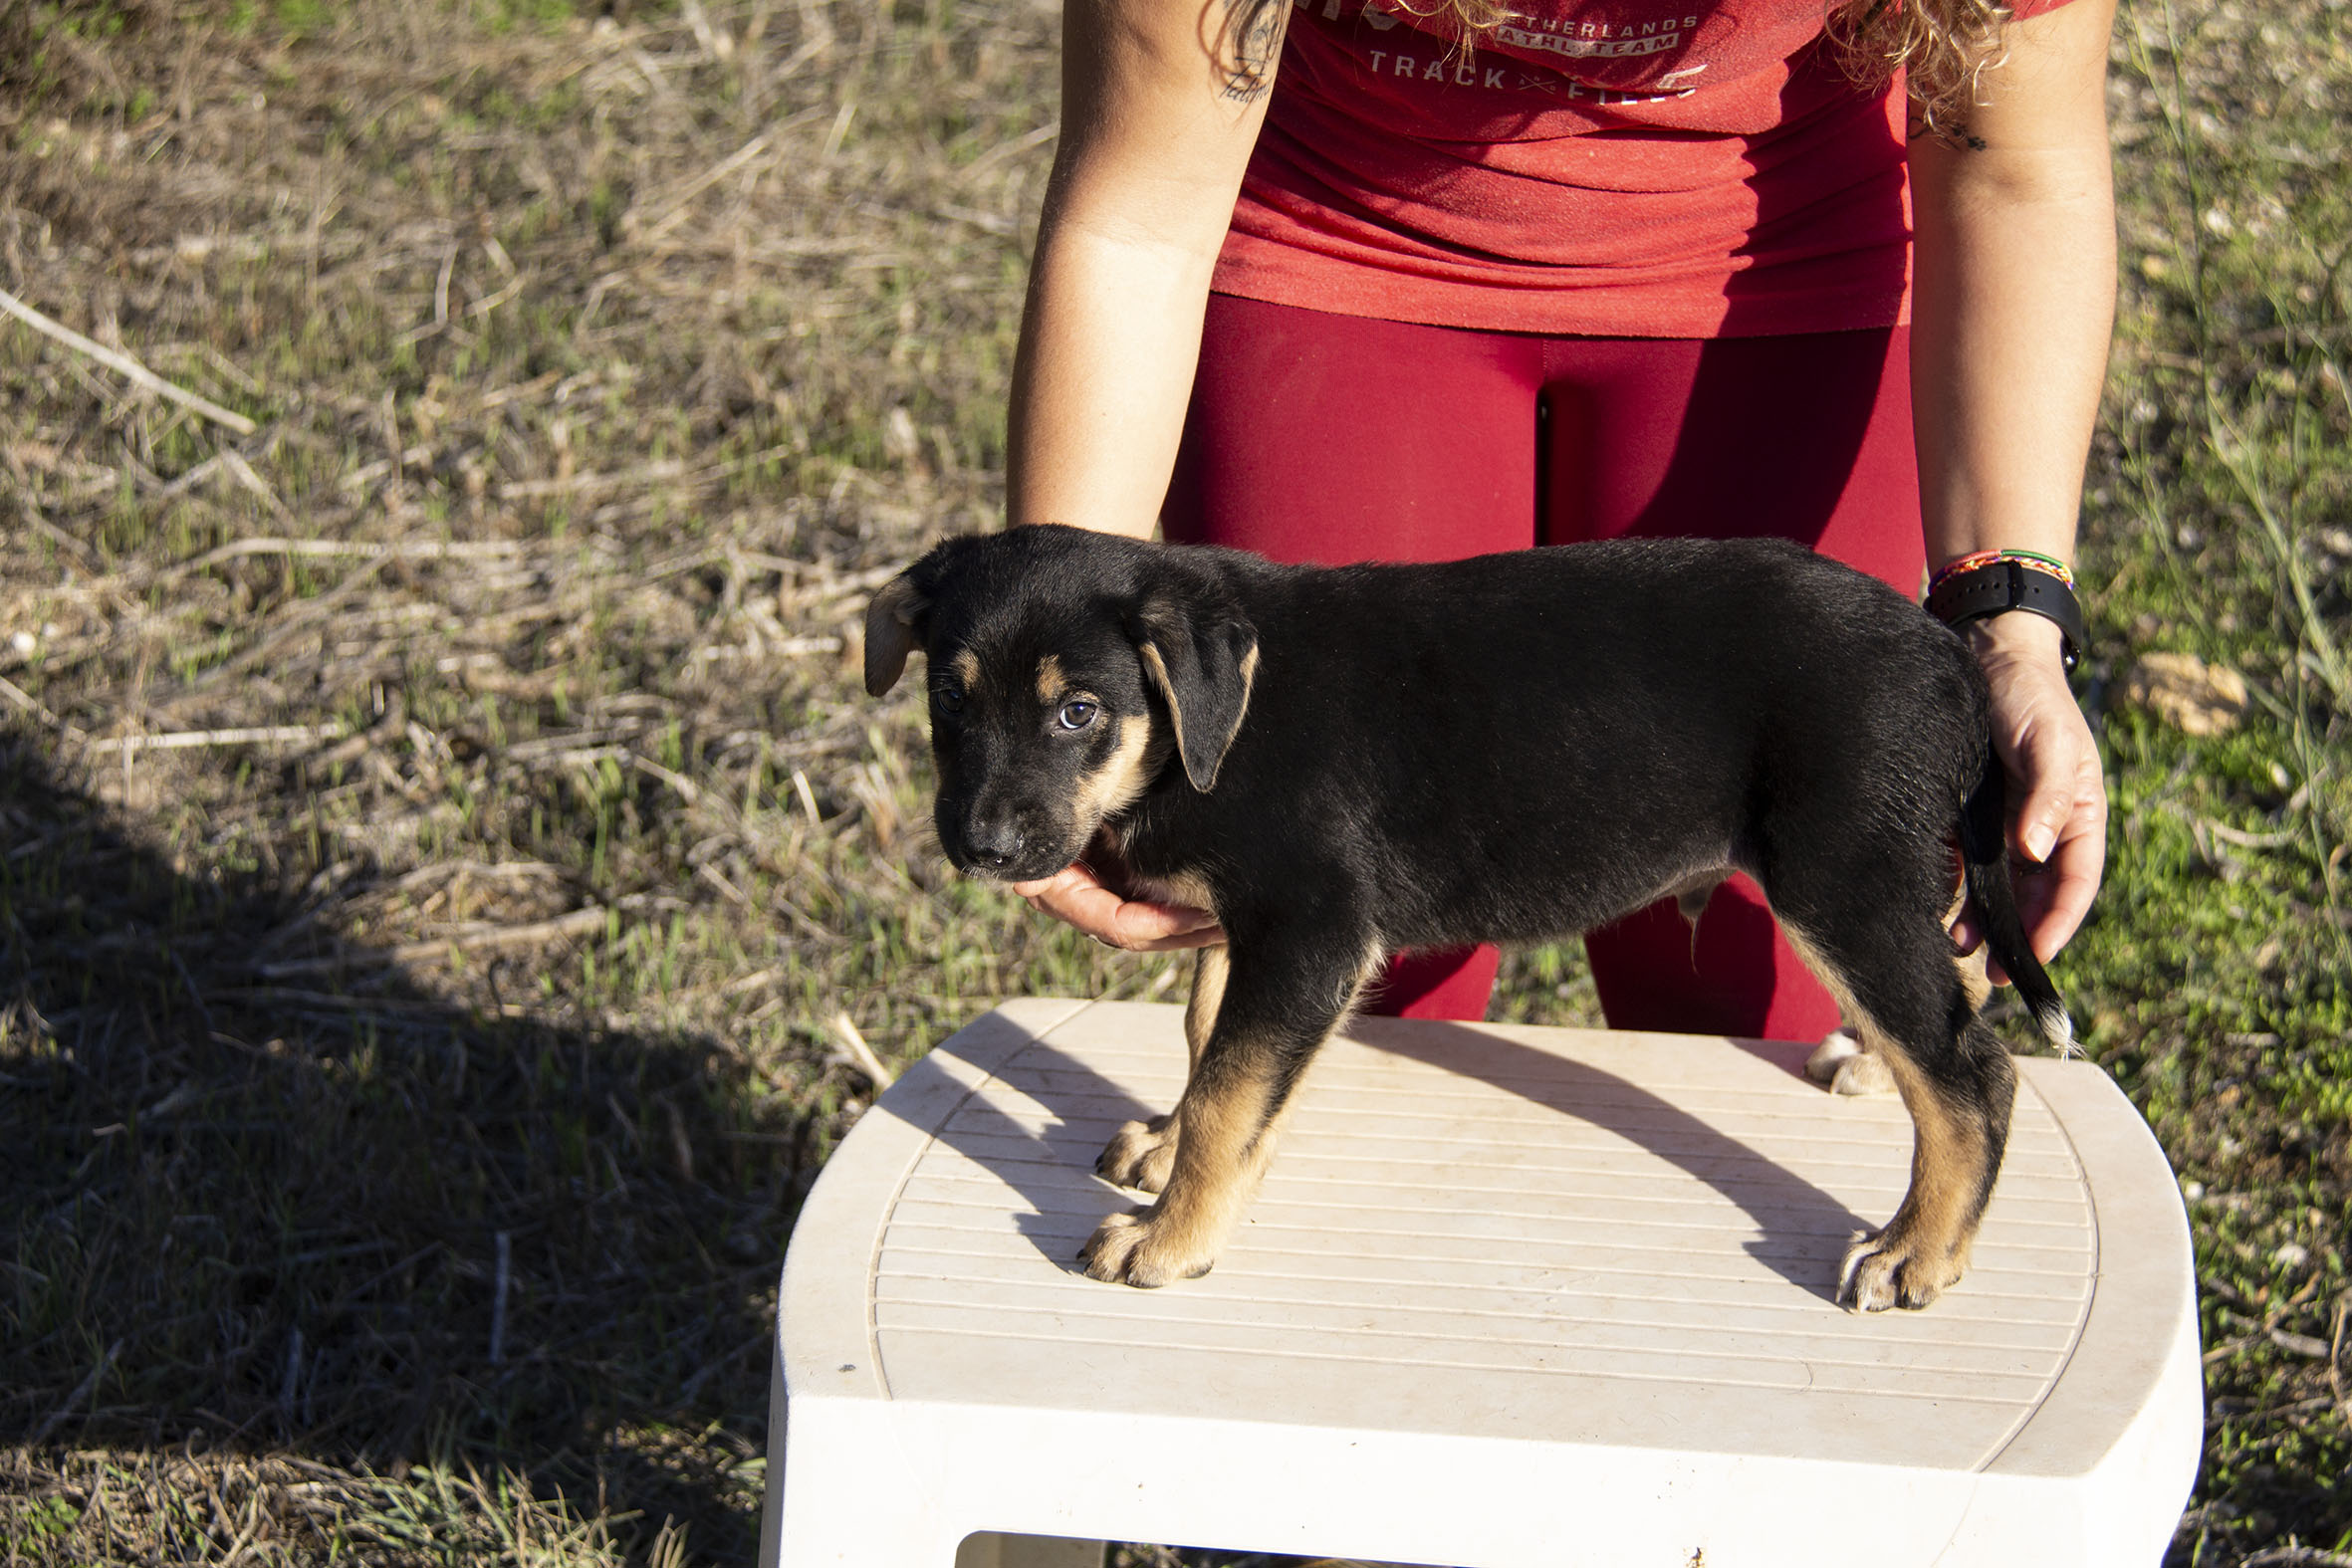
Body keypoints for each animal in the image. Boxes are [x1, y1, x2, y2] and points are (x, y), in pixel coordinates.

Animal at [865, 524, 2073, 1312]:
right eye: (949, 699)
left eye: (1078, 712)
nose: (982, 847)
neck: (1204, 730)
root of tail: (1952, 659)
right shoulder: (1253, 928)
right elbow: (1213, 1042)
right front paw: (1166, 1154)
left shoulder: (1311, 925)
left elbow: (1230, 1090)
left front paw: (1170, 1242)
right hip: (1874, 877)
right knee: (1957, 986)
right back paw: (1875, 1069)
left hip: (1839, 874)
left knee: (1971, 1070)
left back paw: (1917, 1252)